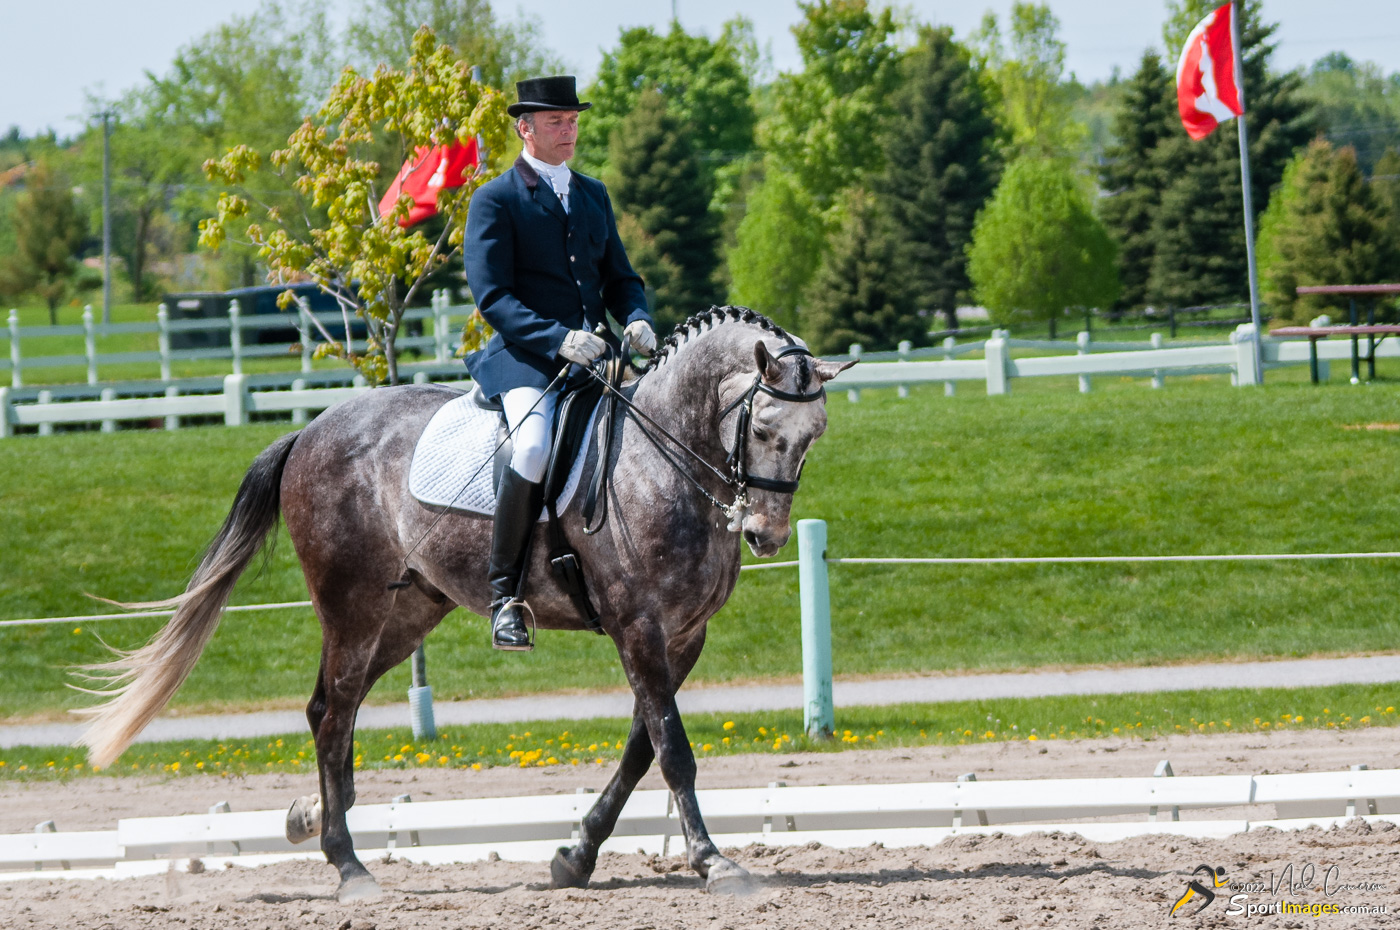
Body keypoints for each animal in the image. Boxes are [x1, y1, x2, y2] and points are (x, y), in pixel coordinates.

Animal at [81, 306, 856, 901]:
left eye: (813, 437)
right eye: (764, 431)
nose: (764, 534)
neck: (658, 460)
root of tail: (310, 430)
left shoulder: (684, 635)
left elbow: (642, 748)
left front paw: (574, 857)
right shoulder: (638, 627)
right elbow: (673, 750)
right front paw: (712, 862)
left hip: (407, 612)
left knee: (330, 707)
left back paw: (317, 819)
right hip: (353, 607)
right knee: (332, 718)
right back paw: (349, 866)